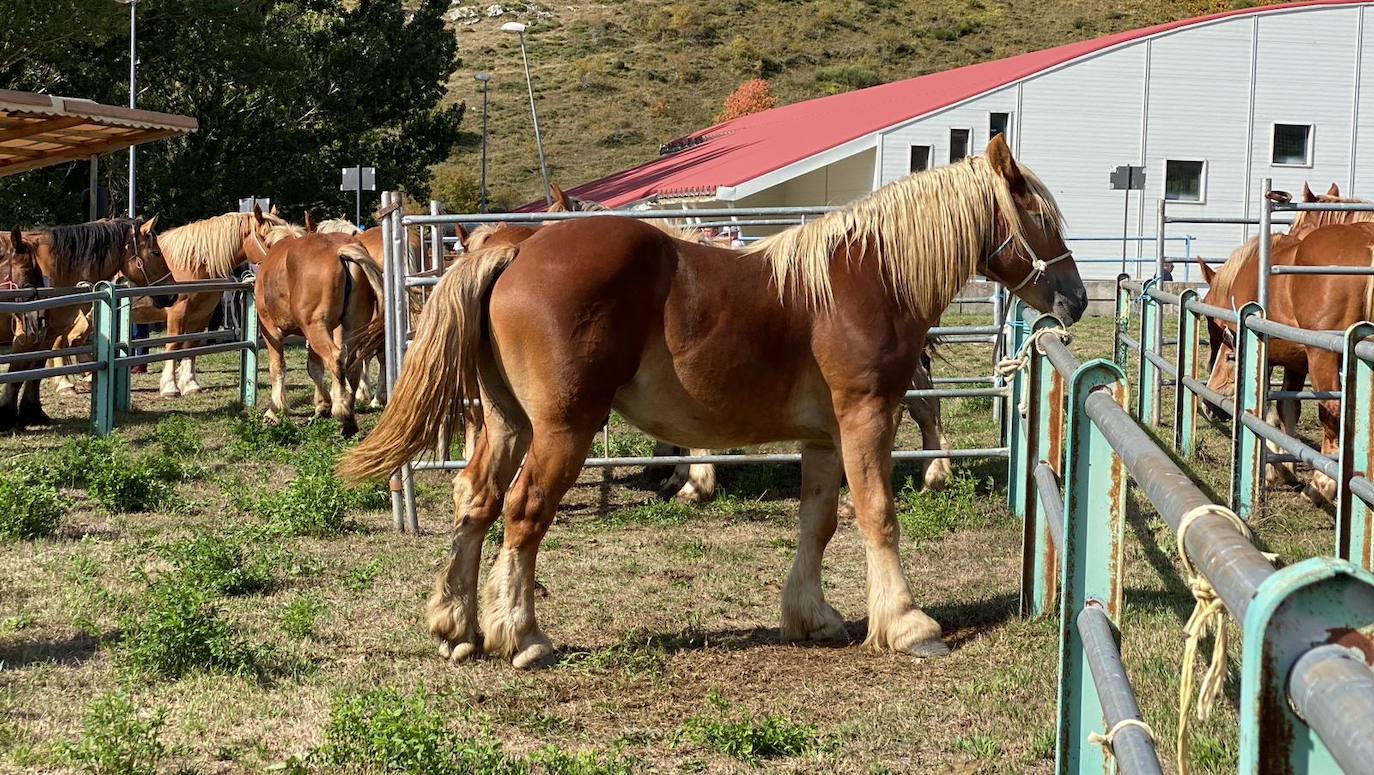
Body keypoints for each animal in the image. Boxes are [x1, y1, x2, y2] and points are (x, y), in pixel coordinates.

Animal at [0, 219, 177, 428]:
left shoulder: (50, 332)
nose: (172, 295)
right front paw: (8, 414)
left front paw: (33, 412)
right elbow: (16, 371)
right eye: (156, 252)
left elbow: (36, 368)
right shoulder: (27, 335)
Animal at [254, 221, 384, 436]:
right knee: (353, 365)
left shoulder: (271, 330)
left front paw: (274, 410)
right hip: (350, 328)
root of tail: (340, 250)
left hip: (316, 329)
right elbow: (314, 367)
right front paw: (322, 405)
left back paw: (343, 414)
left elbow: (277, 368)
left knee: (336, 359)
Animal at [340, 136, 1082, 667]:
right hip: (562, 428)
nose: (1075, 298)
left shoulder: (822, 437)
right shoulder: (867, 416)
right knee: (523, 512)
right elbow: (878, 515)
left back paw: (458, 625)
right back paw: (522, 636)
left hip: (506, 423)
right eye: (1041, 218)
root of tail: (518, 249)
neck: (865, 277)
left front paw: (812, 615)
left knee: (476, 501)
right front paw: (906, 623)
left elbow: (818, 522)